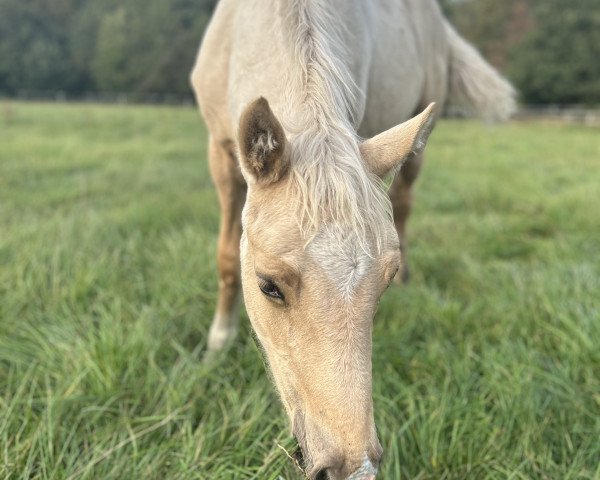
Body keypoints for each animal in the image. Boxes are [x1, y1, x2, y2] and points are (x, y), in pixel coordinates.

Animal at [192, 0, 516, 480]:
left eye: (385, 280)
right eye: (268, 286)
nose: (354, 469)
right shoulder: (220, 152)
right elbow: (227, 258)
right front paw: (217, 344)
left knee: (404, 202)